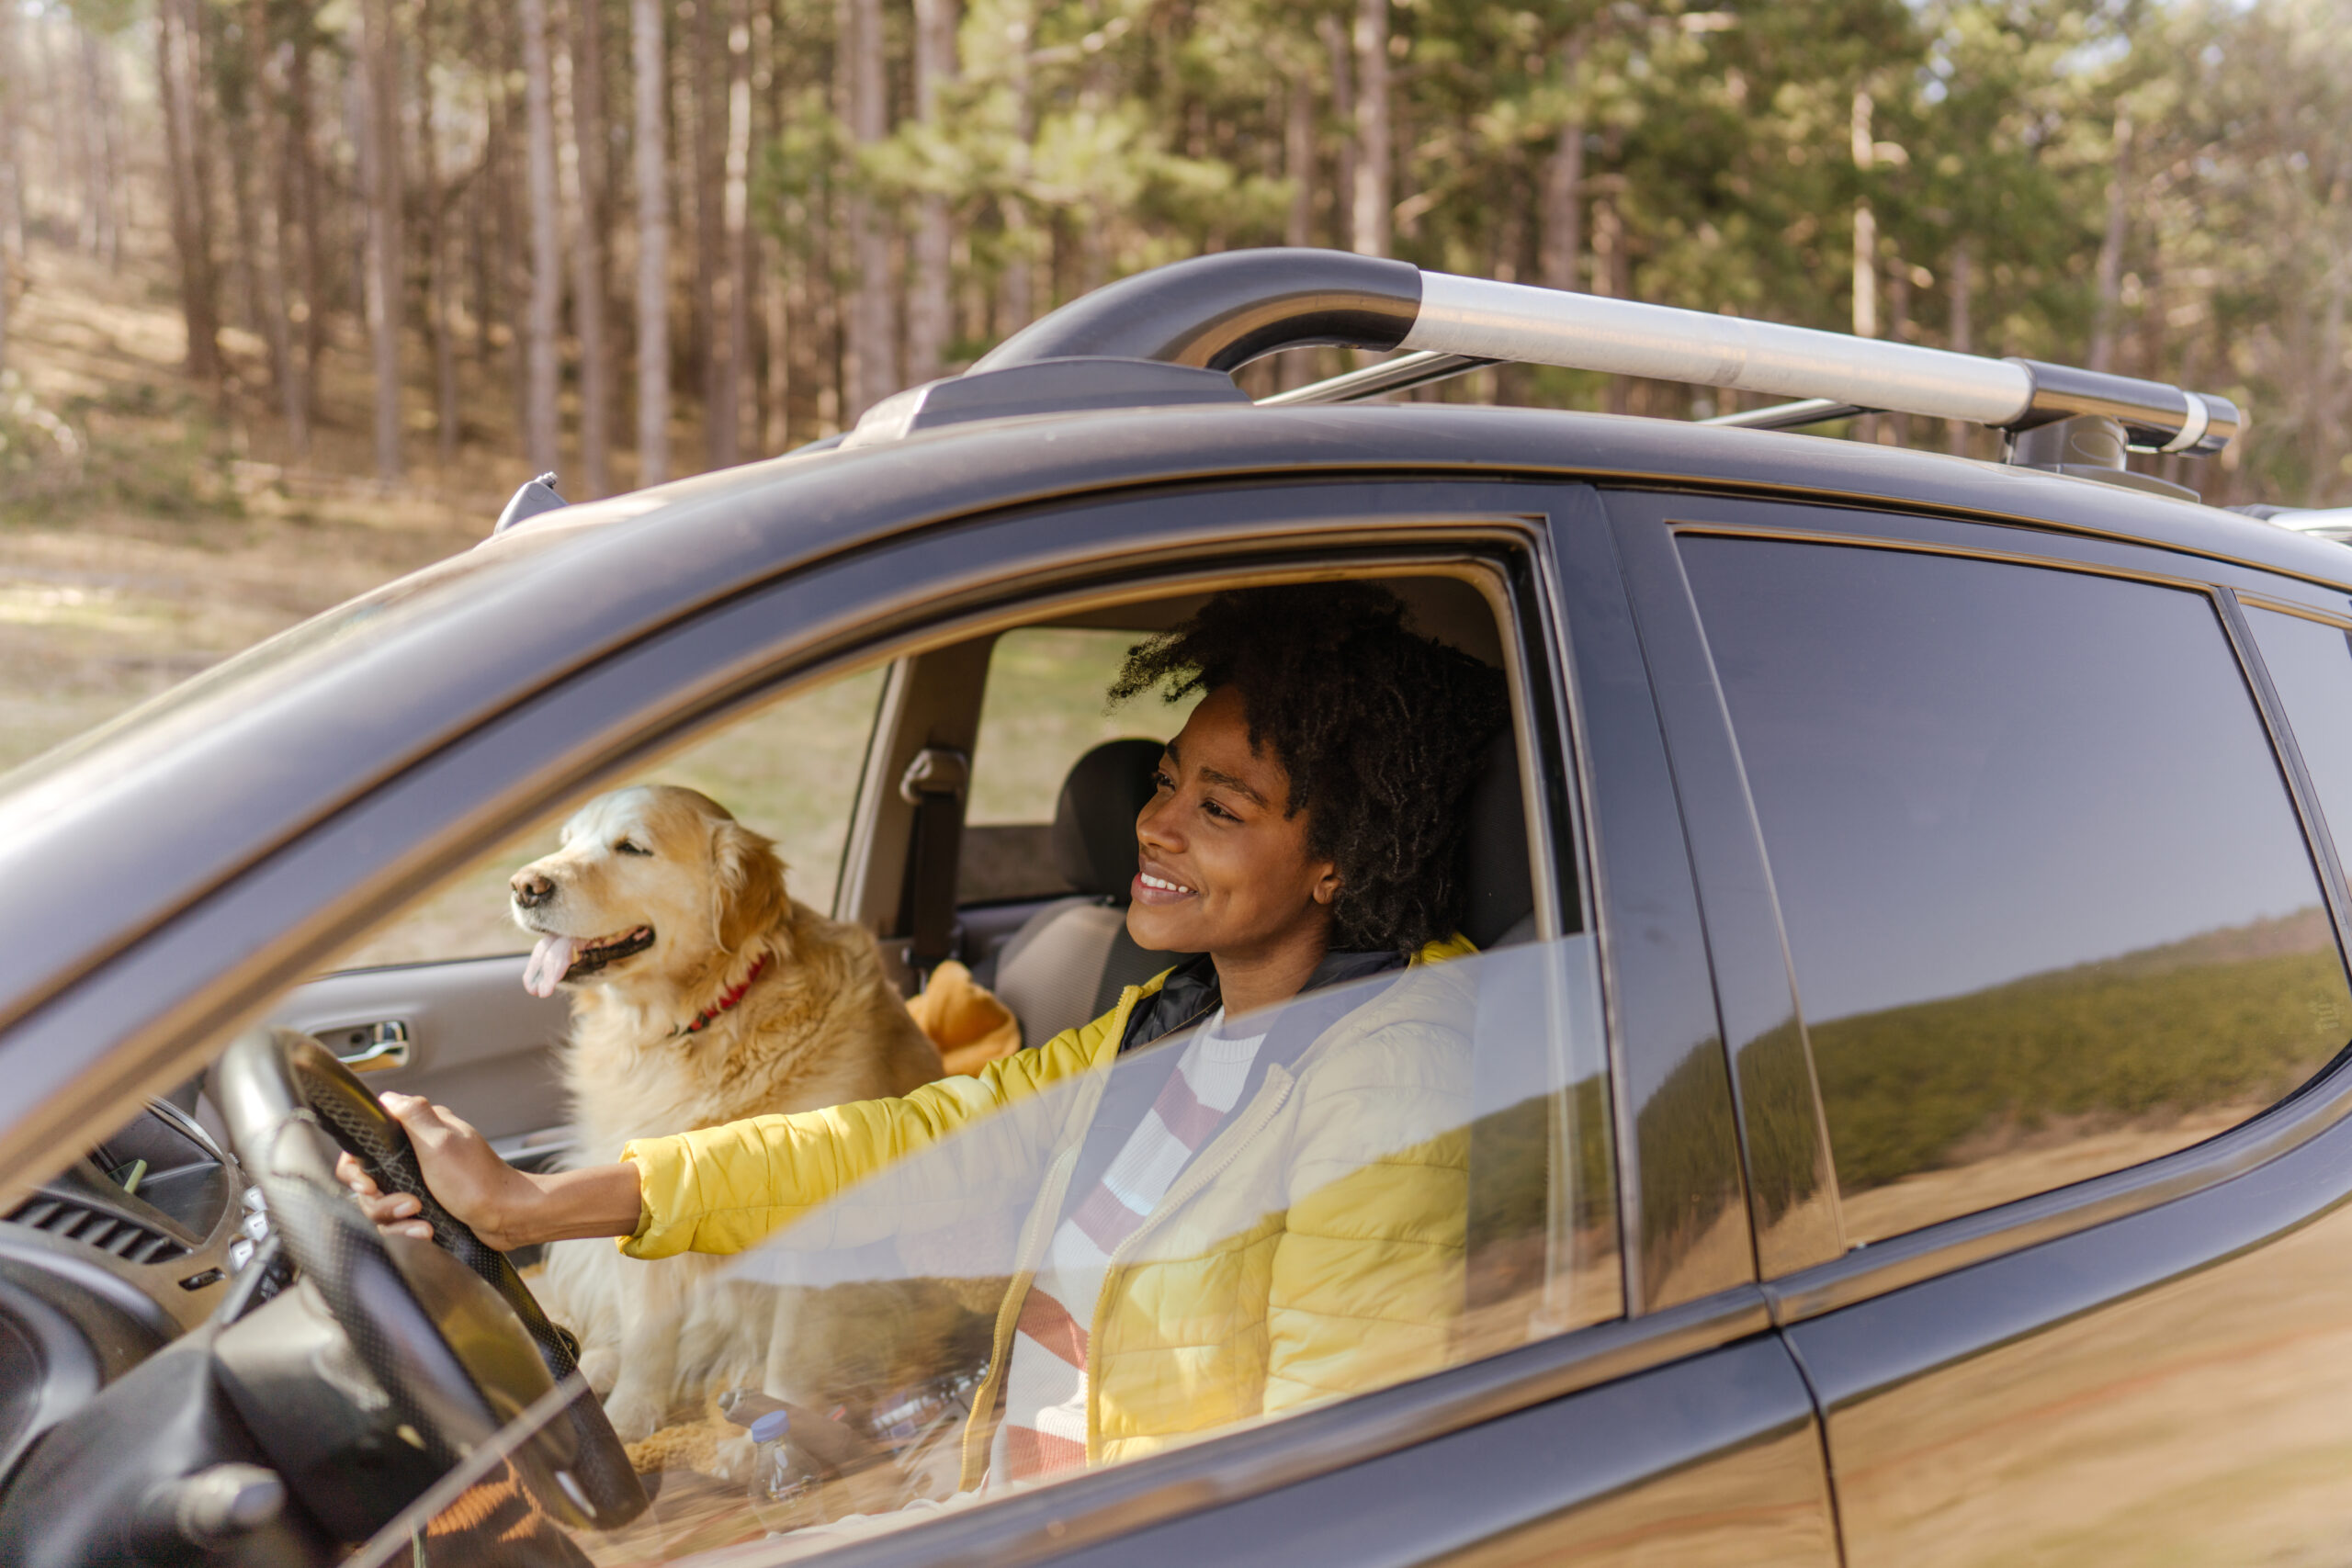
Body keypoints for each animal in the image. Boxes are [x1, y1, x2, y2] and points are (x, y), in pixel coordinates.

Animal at [513, 784, 945, 1457]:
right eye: (568, 841)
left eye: (632, 847)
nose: (523, 885)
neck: (703, 1020)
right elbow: (647, 1331)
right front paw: (631, 1417)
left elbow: (792, 1350)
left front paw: (785, 1431)